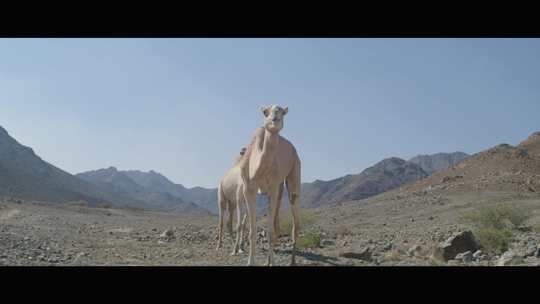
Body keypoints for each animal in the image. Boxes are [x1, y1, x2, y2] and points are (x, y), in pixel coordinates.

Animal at [238, 104, 302, 266]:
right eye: (265, 112)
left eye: (283, 113)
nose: (275, 119)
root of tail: (294, 149)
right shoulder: (249, 188)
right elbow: (252, 230)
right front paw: (250, 262)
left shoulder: (272, 188)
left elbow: (270, 231)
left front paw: (272, 263)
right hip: (278, 188)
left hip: (295, 171)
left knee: (294, 220)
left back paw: (292, 261)